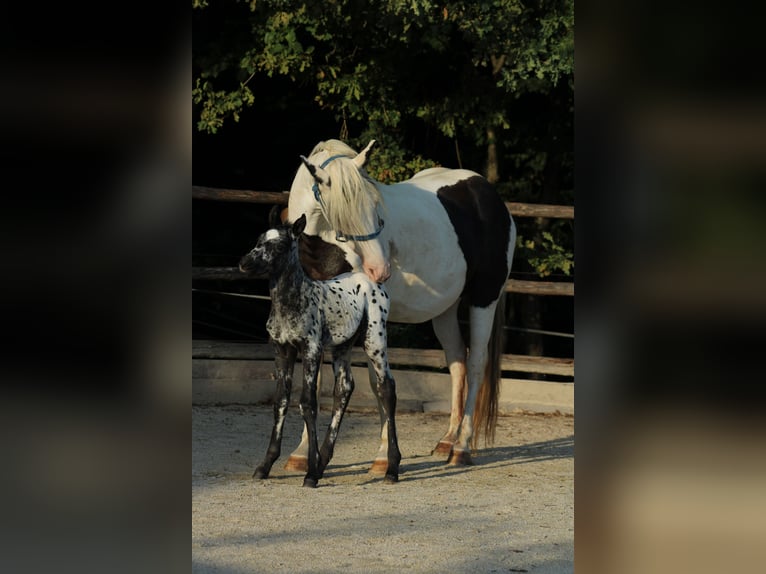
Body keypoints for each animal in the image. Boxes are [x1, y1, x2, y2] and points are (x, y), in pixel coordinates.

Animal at [239, 211, 401, 487]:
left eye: (280, 246)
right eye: (259, 240)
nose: (245, 262)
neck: (292, 303)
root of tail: (372, 280)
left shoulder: (311, 349)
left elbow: (308, 402)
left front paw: (310, 474)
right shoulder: (282, 351)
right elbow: (281, 400)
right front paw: (265, 466)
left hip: (375, 340)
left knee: (386, 387)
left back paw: (391, 468)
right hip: (342, 347)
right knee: (344, 388)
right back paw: (325, 461)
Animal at [284, 139, 516, 470]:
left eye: (376, 209)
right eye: (343, 214)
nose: (379, 270)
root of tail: (487, 194)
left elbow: (377, 382)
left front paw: (384, 457)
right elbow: (313, 383)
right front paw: (302, 453)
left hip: (485, 298)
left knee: (475, 364)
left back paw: (461, 448)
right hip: (445, 309)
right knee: (457, 361)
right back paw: (447, 441)